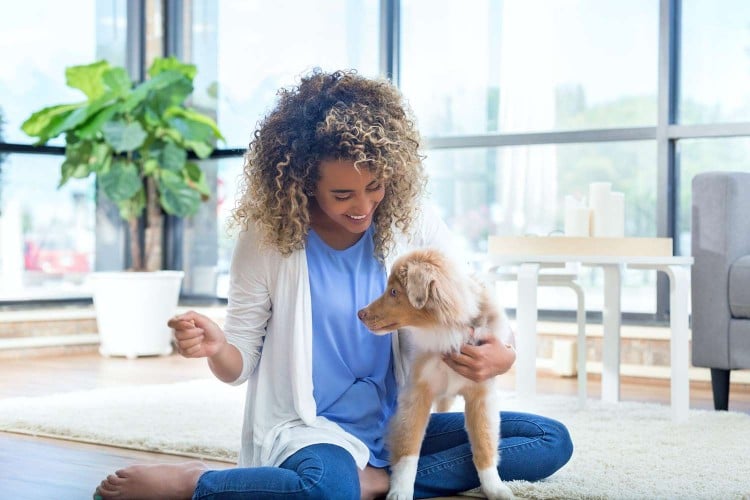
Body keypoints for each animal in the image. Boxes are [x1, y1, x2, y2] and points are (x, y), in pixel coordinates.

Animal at [360, 249, 516, 500]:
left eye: (394, 292)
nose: (360, 313)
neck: (444, 331)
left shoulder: (481, 395)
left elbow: (484, 444)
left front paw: (496, 488)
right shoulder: (416, 393)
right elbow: (409, 449)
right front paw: (400, 491)